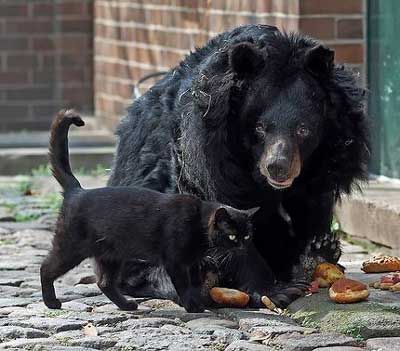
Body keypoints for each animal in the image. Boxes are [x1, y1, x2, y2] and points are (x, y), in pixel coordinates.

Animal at [40, 110, 260, 314]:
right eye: (232, 236)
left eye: (247, 236)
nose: (242, 246)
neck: (197, 221)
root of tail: (77, 190)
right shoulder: (175, 262)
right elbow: (183, 285)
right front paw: (193, 306)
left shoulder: (192, 263)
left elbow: (195, 283)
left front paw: (198, 302)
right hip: (71, 247)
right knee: (46, 267)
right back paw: (51, 302)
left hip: (111, 255)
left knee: (104, 282)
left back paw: (127, 305)